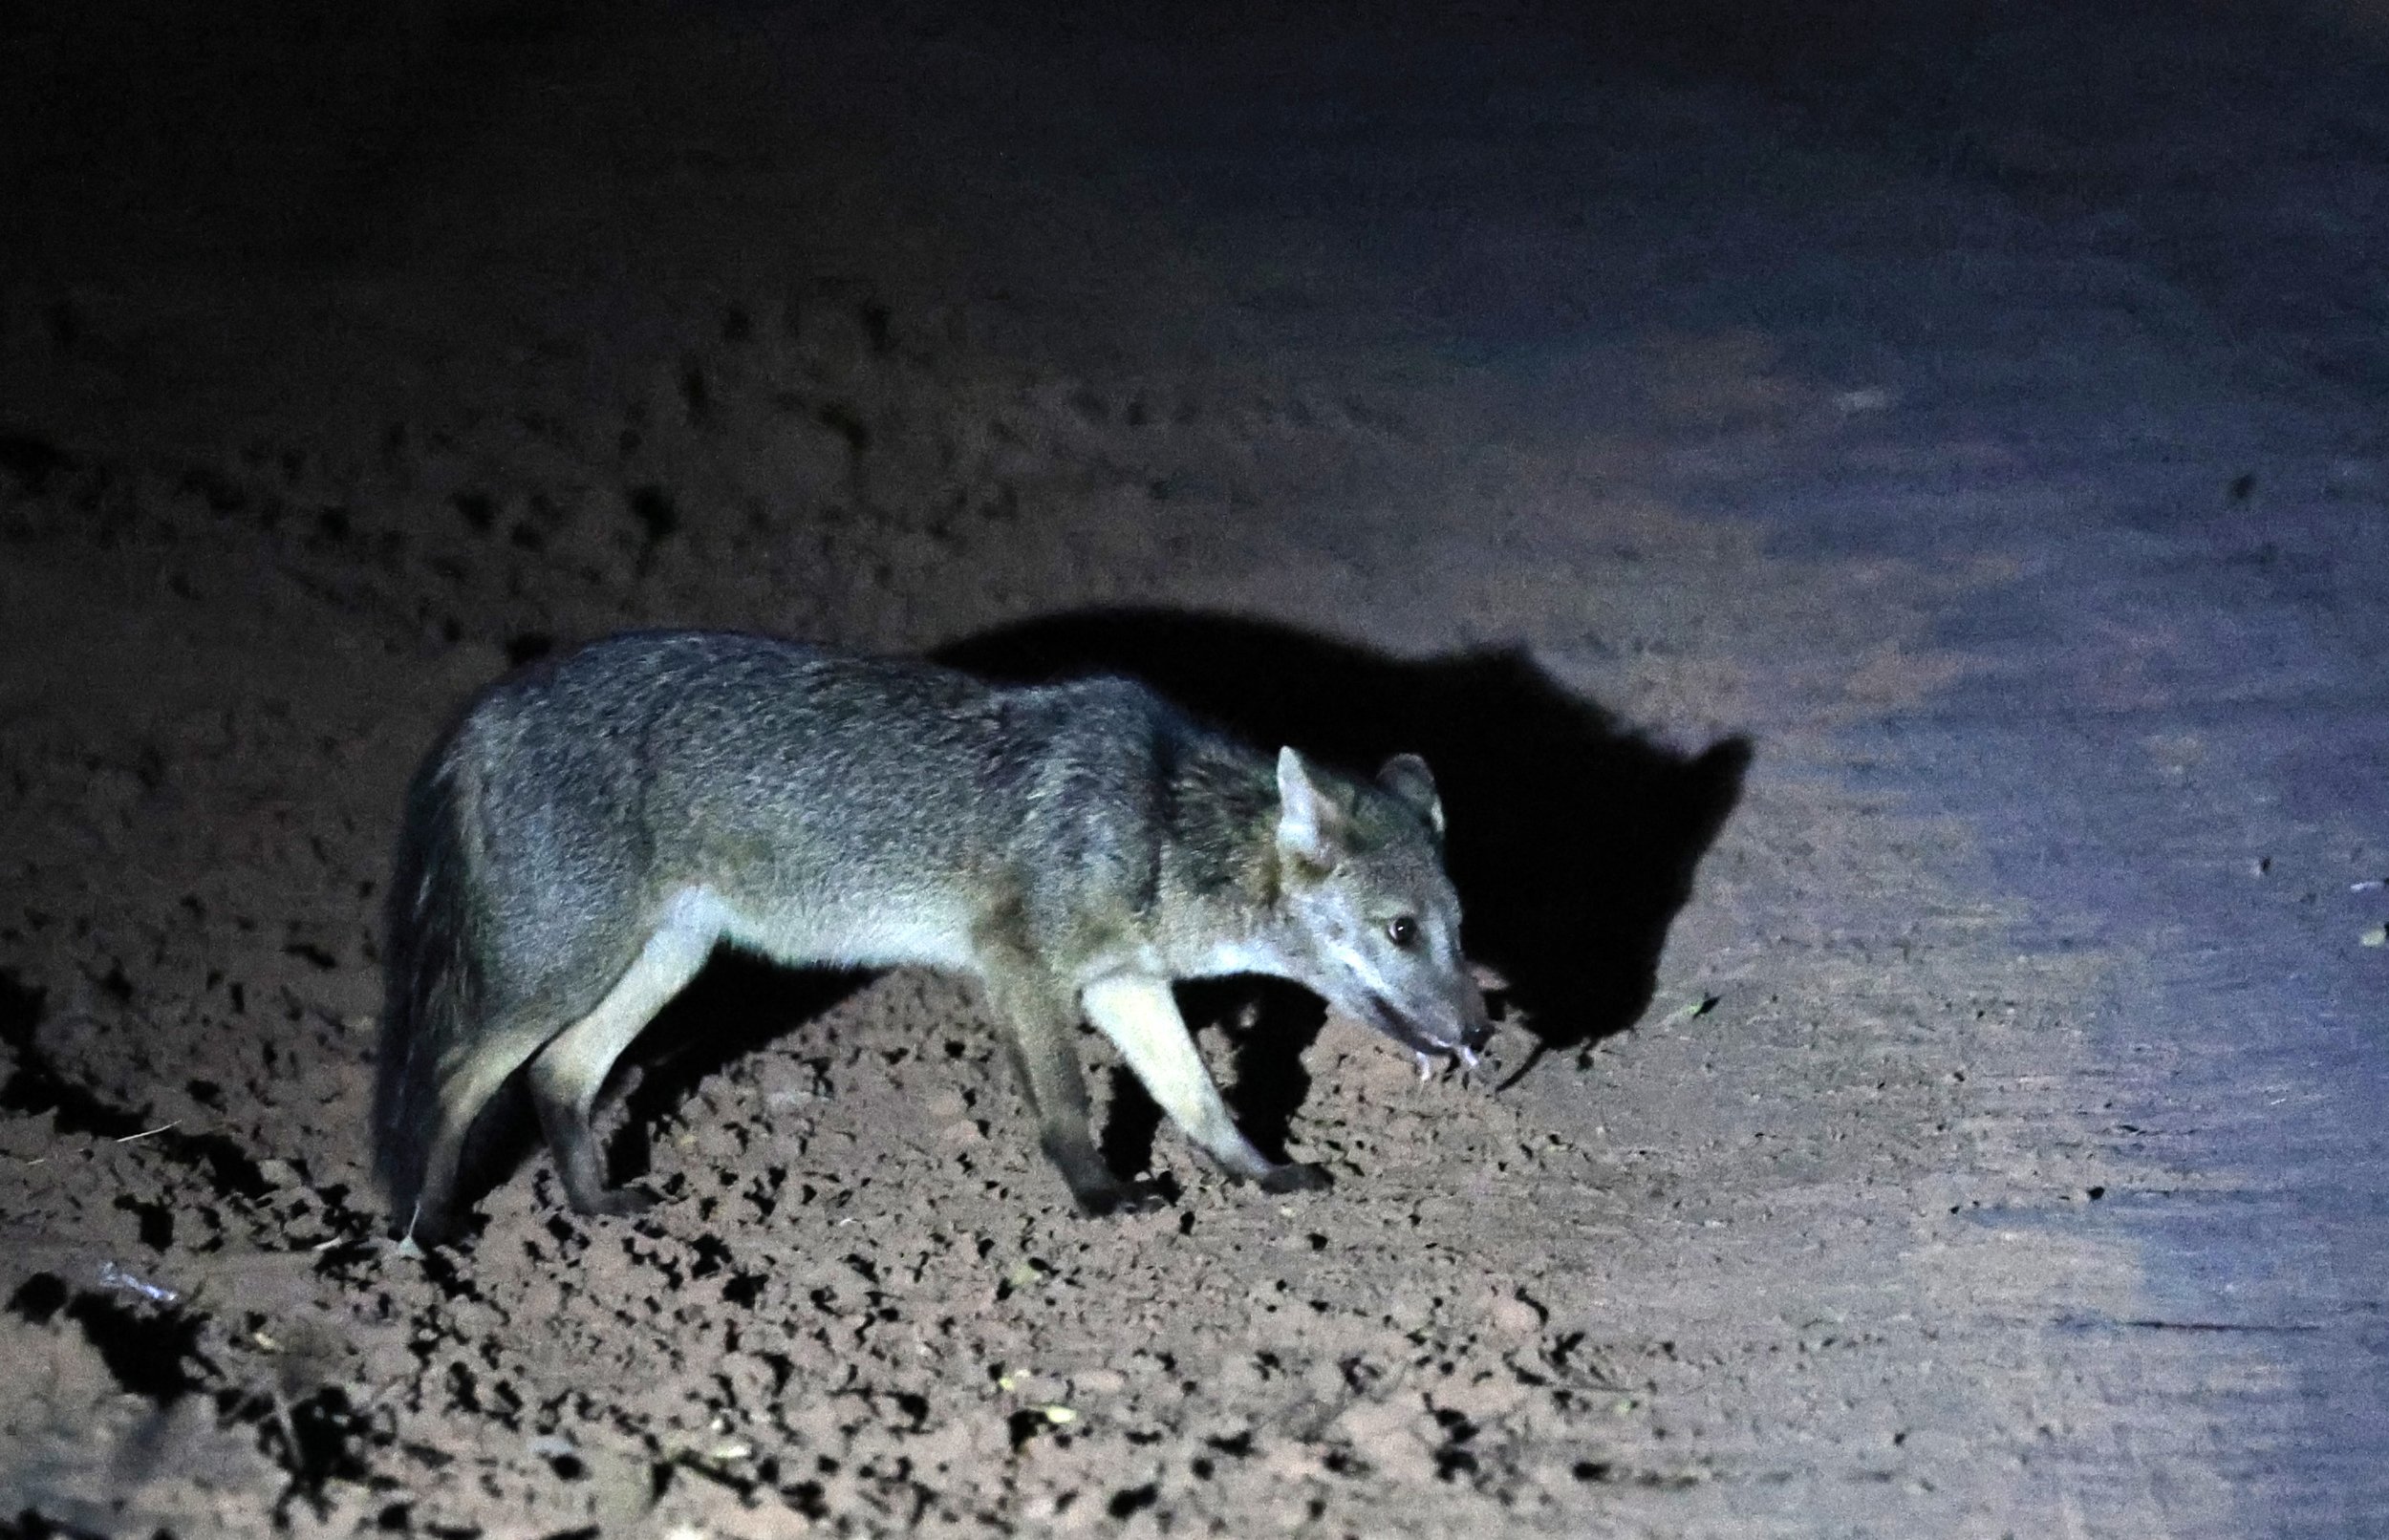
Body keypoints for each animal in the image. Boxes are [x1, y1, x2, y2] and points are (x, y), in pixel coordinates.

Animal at [373, 629, 1491, 1244]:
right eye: (1400, 930)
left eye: (1459, 928)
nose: (1483, 1034)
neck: (1159, 818)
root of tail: (485, 709)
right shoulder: (1026, 972)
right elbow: (1068, 1108)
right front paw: (1099, 1198)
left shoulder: (1126, 987)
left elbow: (1201, 1098)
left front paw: (1264, 1176)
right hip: (561, 971)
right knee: (456, 1077)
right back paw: (426, 1228)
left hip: (661, 964)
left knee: (558, 1075)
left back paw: (595, 1210)